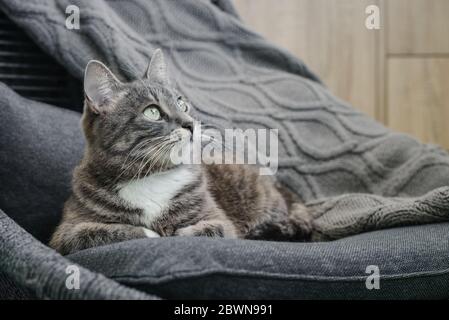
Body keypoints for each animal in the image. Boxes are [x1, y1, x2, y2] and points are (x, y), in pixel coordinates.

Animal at [49, 49, 312, 255]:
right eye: (152, 112)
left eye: (182, 104)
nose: (190, 123)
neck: (151, 177)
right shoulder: (65, 232)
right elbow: (96, 233)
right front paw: (151, 233)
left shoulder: (220, 220)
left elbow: (214, 229)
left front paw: (179, 233)